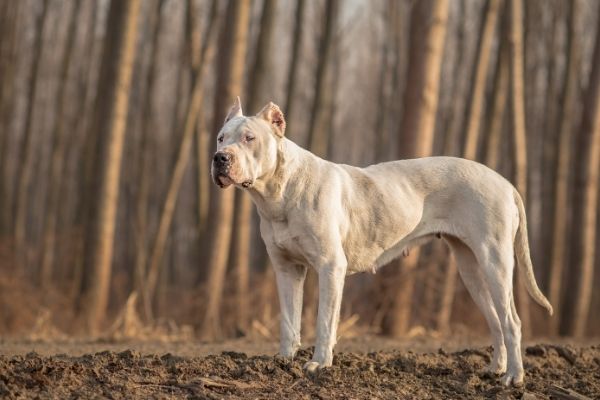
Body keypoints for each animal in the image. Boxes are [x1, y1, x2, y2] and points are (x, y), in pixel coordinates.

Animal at [211, 97, 552, 388]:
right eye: (220, 138)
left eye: (249, 138)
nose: (219, 158)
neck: (279, 192)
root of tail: (505, 183)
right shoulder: (286, 269)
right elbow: (288, 320)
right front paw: (283, 362)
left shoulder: (330, 268)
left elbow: (324, 322)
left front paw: (319, 364)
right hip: (471, 268)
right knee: (496, 320)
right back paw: (495, 369)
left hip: (494, 261)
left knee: (512, 321)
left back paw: (514, 378)